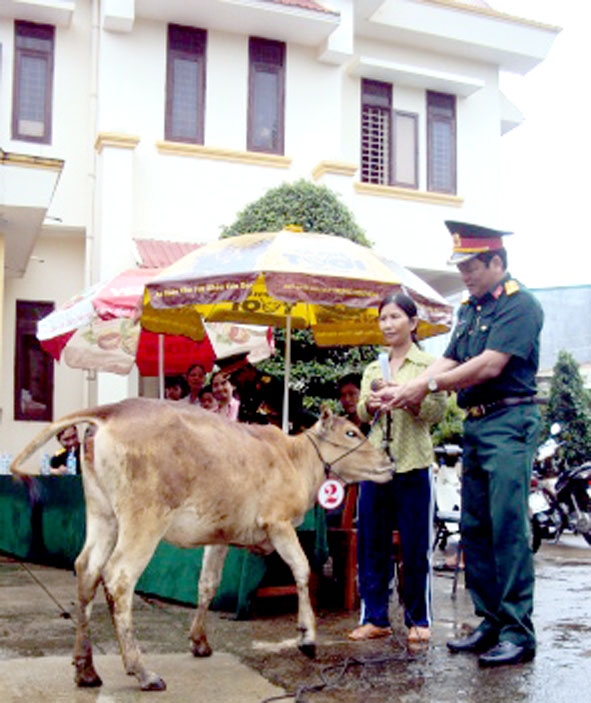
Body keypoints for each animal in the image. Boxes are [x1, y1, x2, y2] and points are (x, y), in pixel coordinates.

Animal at [10, 398, 394, 692]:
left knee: (87, 569)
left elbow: (208, 584)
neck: (294, 458)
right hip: (143, 519)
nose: (389, 462)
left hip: (102, 514)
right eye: (351, 432)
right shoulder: (278, 522)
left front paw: (199, 642)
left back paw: (86, 669)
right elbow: (301, 569)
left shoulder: (220, 535)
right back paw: (142, 672)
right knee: (118, 577)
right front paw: (307, 638)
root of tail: (113, 410)